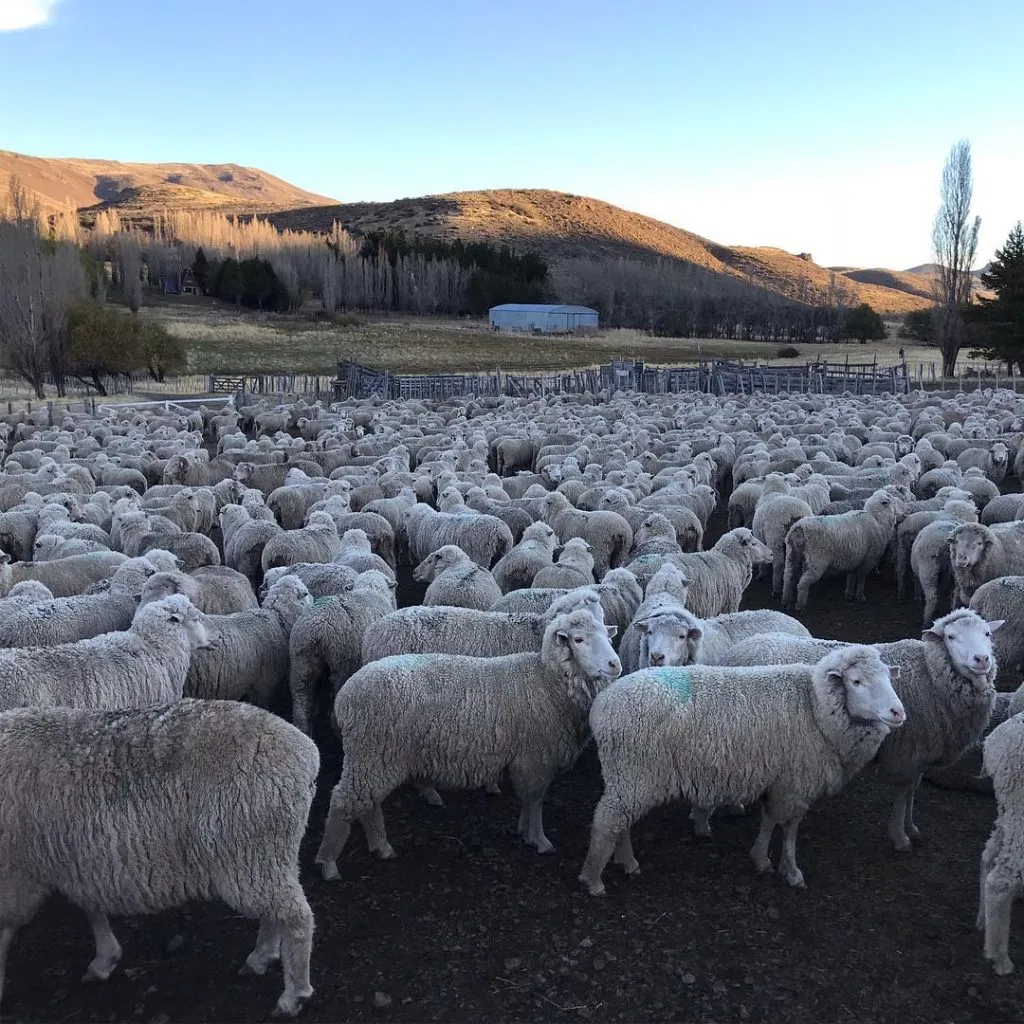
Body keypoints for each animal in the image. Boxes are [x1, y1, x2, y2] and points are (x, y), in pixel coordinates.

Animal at [0, 699, 316, 1017]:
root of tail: (306, 752)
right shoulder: (75, 858)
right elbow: (90, 906)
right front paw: (104, 959)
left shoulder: (16, 873)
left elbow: (5, 929)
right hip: (267, 857)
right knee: (276, 912)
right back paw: (261, 957)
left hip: (250, 854)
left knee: (296, 917)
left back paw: (293, 996)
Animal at [314, 607, 622, 878]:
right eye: (578, 640)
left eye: (607, 636)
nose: (615, 665)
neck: (545, 680)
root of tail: (346, 694)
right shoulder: (535, 757)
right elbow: (535, 800)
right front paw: (539, 840)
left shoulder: (527, 759)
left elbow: (528, 800)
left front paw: (524, 831)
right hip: (372, 751)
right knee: (344, 801)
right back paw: (328, 863)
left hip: (374, 757)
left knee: (367, 802)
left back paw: (381, 846)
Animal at [578, 645, 905, 895]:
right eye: (857, 682)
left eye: (888, 678)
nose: (898, 712)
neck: (815, 707)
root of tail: (601, 705)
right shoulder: (796, 783)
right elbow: (790, 829)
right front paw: (790, 870)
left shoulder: (779, 780)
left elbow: (770, 819)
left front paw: (761, 859)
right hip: (634, 772)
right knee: (608, 820)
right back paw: (593, 879)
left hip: (627, 777)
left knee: (619, 820)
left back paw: (627, 862)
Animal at [723, 608, 1000, 851]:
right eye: (951, 637)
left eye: (988, 634)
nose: (981, 660)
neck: (930, 674)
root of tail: (745, 644)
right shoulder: (906, 754)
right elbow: (902, 795)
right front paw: (900, 837)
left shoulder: (921, 753)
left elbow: (913, 790)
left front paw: (911, 827)